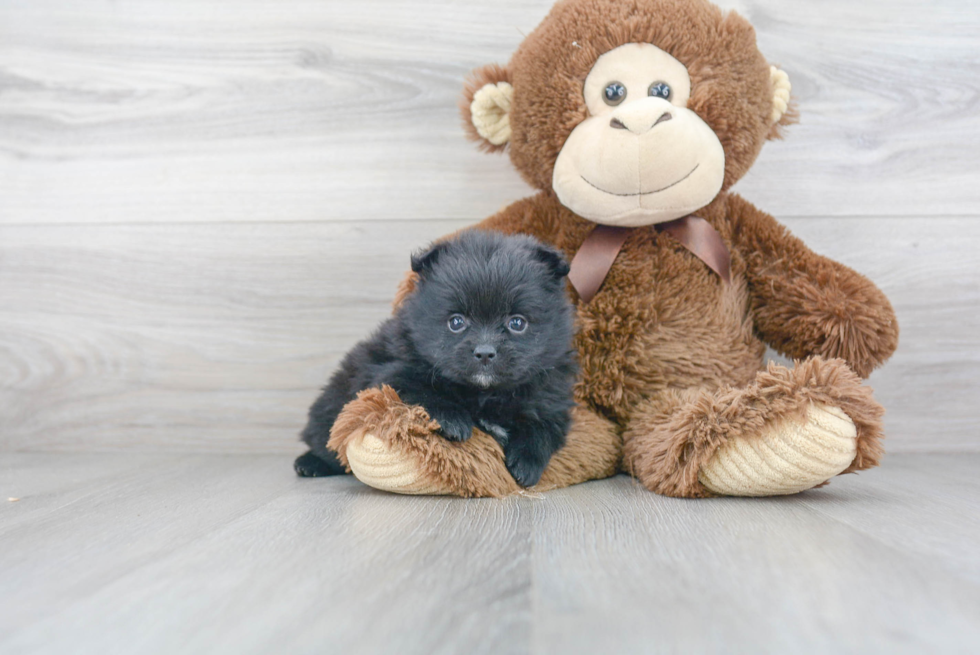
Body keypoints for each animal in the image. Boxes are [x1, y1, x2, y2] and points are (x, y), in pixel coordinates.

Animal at [294, 231, 580, 486]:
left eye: (517, 323)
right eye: (456, 322)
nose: (484, 352)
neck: (485, 394)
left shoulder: (551, 400)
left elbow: (543, 429)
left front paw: (526, 463)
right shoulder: (389, 373)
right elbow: (423, 391)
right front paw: (454, 420)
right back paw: (309, 464)